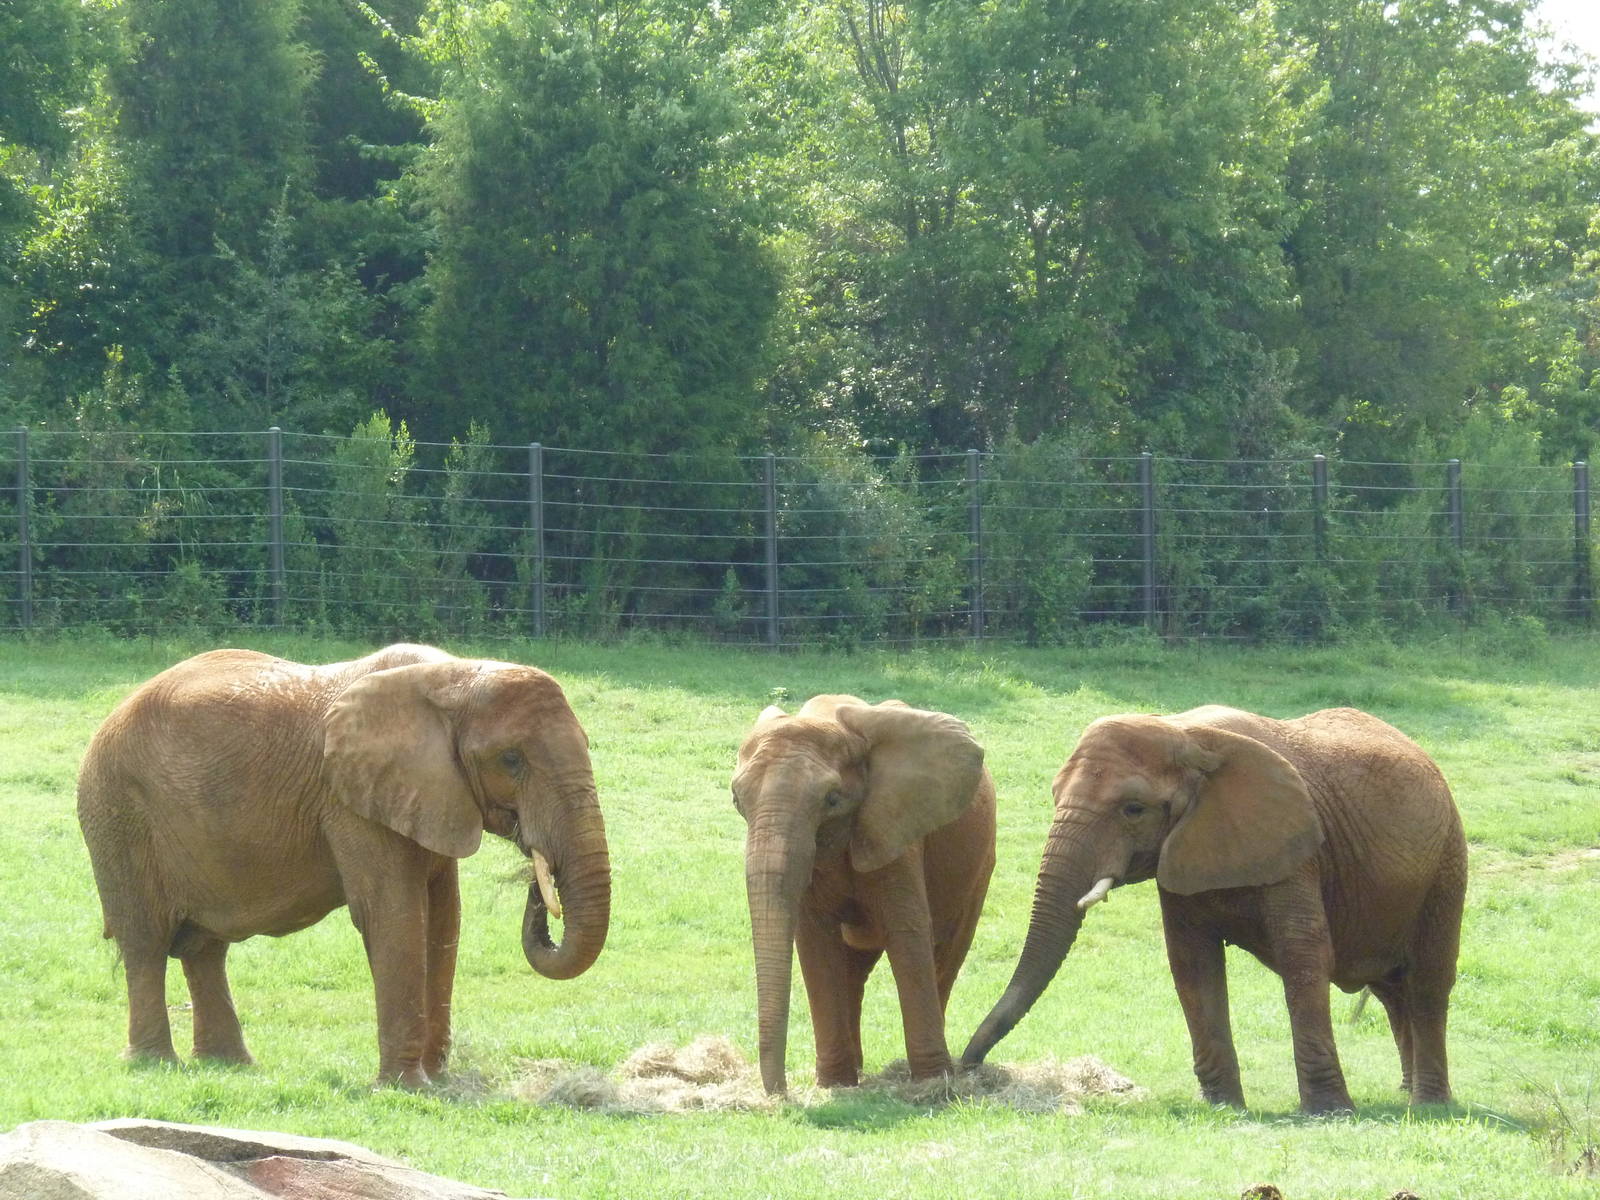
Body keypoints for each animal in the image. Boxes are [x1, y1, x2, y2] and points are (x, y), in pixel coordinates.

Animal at [76, 643, 611, 1087]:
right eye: (512, 759)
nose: (539, 880)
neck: (453, 676)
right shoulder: (352, 802)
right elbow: (393, 915)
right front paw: (409, 1088)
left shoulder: (433, 795)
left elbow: (444, 921)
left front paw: (438, 1080)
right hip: (118, 815)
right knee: (145, 942)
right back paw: (155, 1064)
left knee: (205, 949)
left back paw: (231, 1066)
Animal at [731, 694, 996, 1095]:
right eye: (736, 801)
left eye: (832, 800)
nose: (780, 1094)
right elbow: (816, 946)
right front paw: (834, 1086)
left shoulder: (896, 830)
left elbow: (907, 934)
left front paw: (931, 1084)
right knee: (852, 972)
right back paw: (854, 1071)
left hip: (980, 866)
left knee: (948, 953)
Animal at [961, 705, 1465, 1114]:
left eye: (1133, 809)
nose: (968, 1067)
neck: (1186, 734)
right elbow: (1192, 962)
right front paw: (1224, 1107)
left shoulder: (1294, 846)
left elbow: (1303, 956)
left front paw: (1329, 1113)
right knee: (1392, 990)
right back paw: (1406, 1092)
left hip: (1446, 862)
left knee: (1427, 983)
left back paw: (1428, 1105)